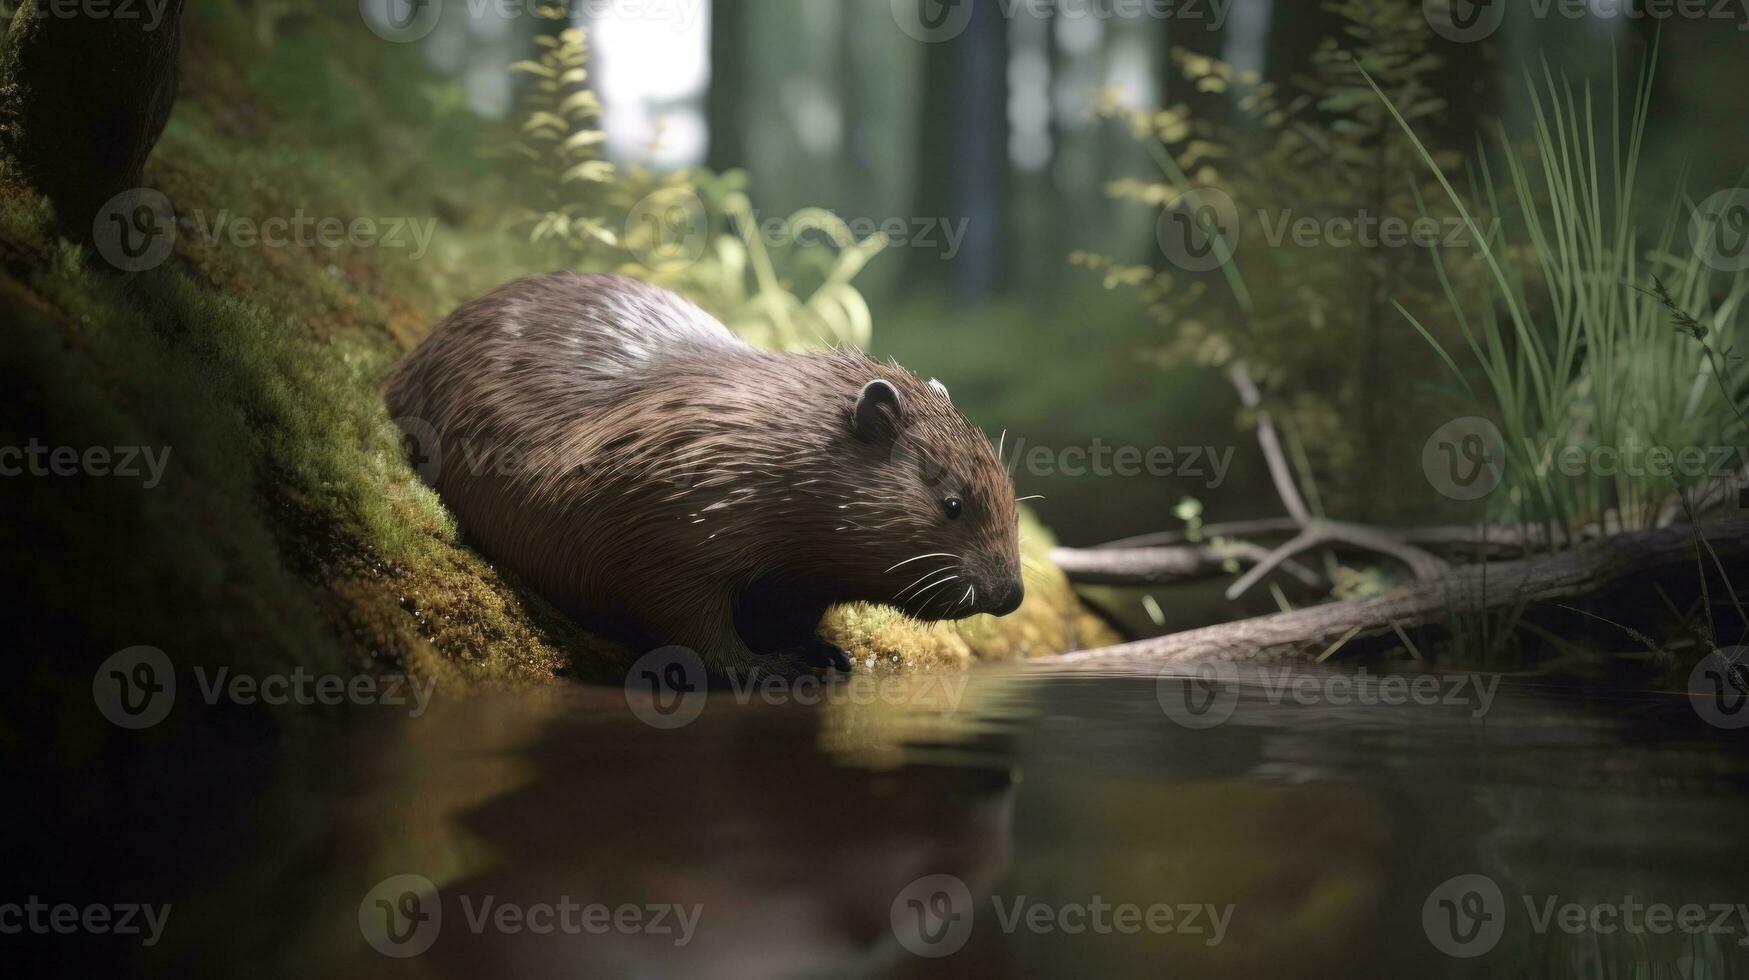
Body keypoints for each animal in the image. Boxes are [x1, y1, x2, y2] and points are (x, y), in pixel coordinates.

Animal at [376, 271, 1021, 679]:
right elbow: (682, 613)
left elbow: (793, 608)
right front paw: (774, 667)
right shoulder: (664, 509)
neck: (771, 429)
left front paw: (823, 654)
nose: (1011, 594)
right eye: (953, 502)